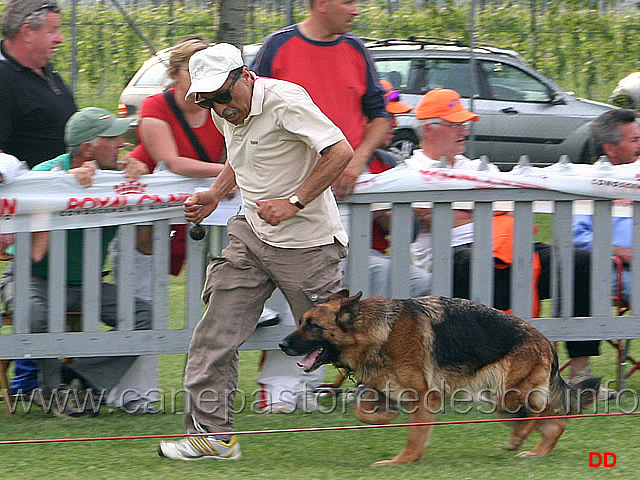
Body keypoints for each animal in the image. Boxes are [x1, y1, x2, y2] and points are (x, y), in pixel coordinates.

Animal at [280, 288, 600, 464]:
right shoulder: (381, 389)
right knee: (553, 423)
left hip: (508, 395)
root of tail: (545, 341)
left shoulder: (423, 396)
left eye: (312, 325)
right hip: (502, 402)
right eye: (302, 322)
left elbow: (414, 435)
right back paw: (535, 452)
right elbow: (362, 410)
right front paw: (385, 417)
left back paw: (520, 440)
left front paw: (402, 461)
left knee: (543, 414)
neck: (377, 331)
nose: (282, 345)